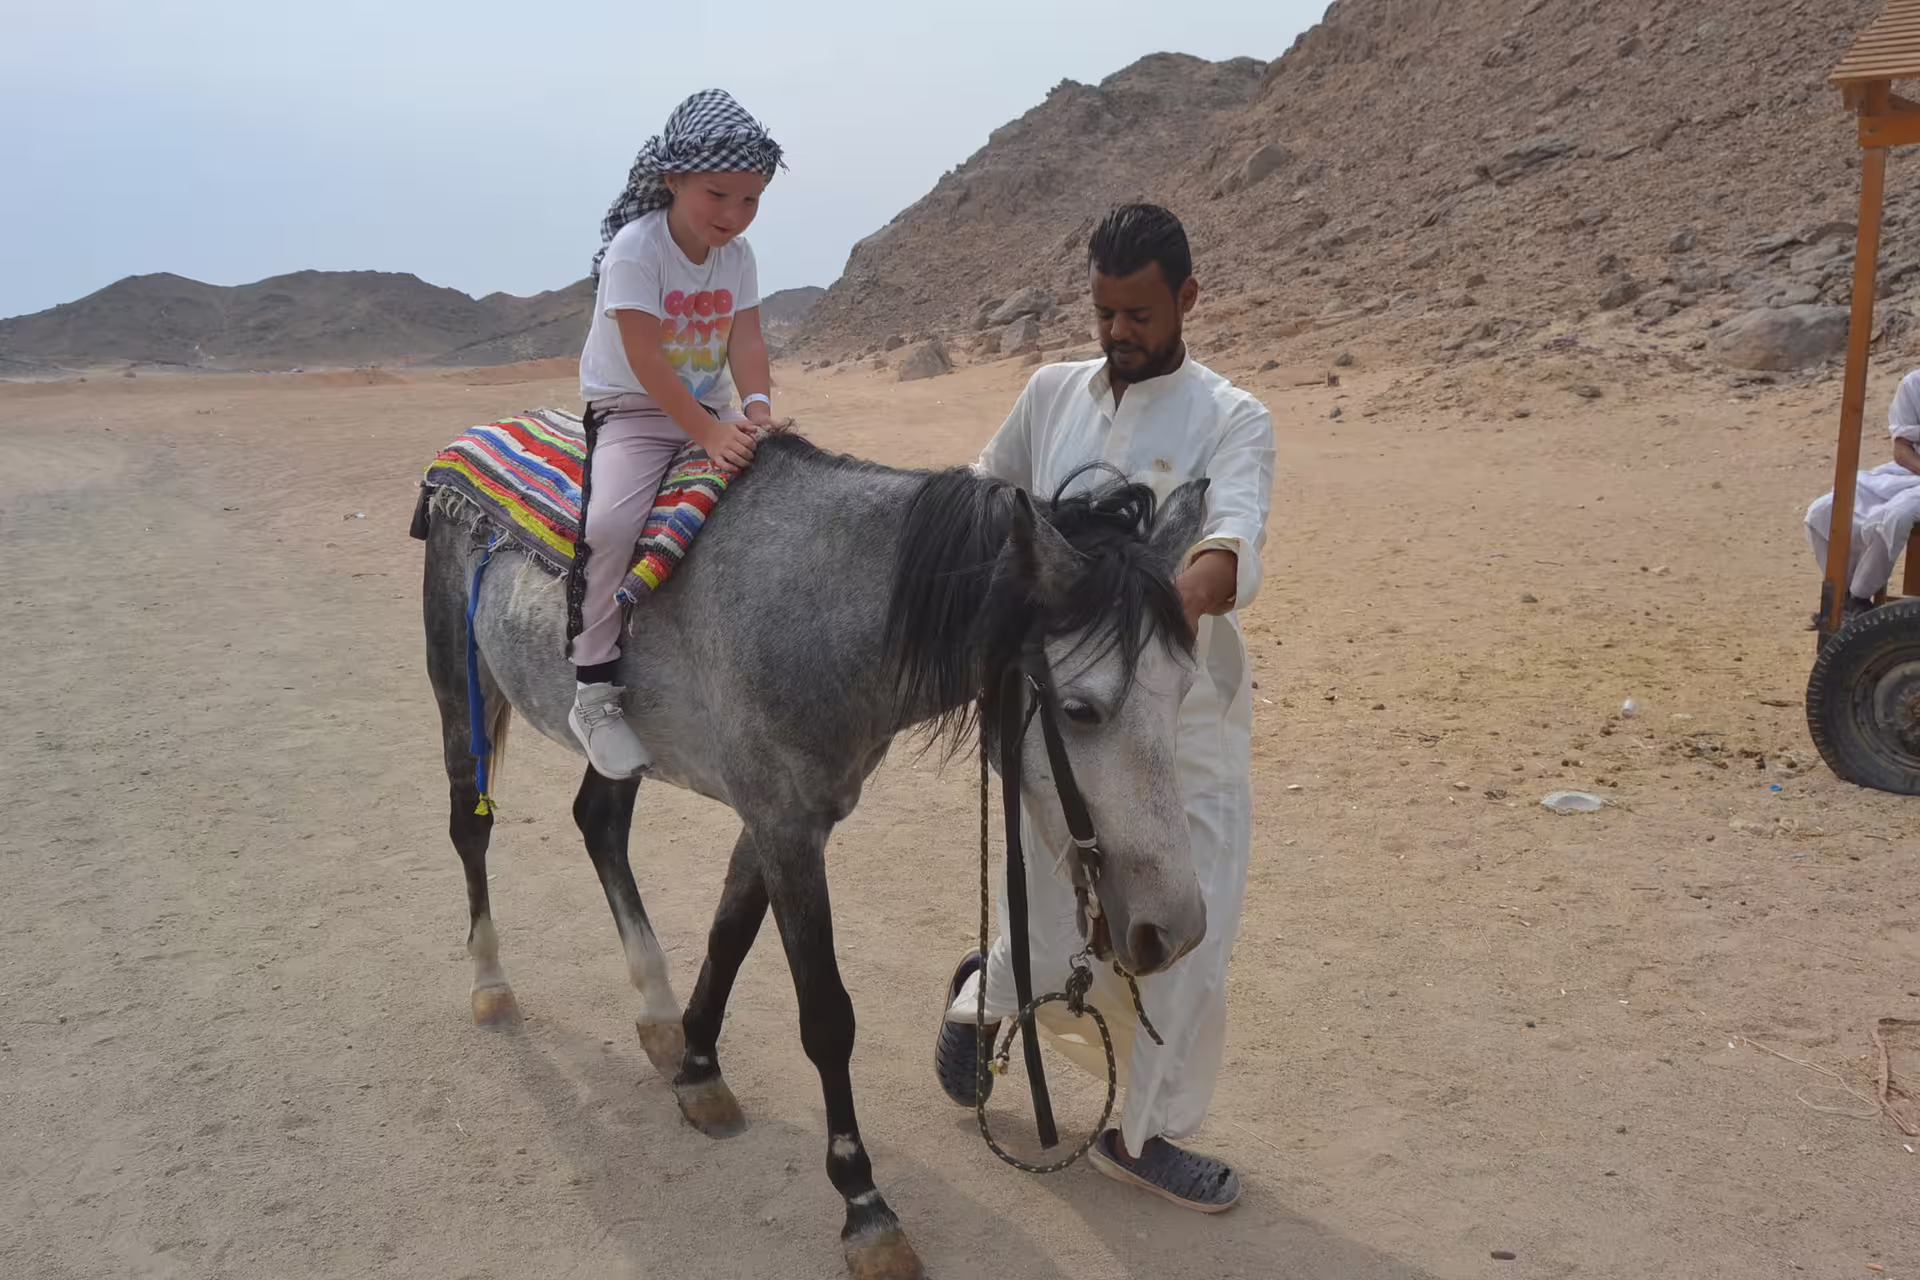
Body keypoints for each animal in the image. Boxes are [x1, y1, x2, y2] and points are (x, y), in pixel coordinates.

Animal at [417, 429, 1210, 1280]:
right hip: (456, 681)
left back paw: (656, 1013)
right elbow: (827, 1016)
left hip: (617, 748)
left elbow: (729, 935)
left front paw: (697, 1070)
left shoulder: (786, 818)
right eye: (1080, 709)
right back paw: (491, 983)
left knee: (598, 824)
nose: (1175, 929)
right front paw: (865, 1208)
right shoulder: (785, 825)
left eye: (1184, 689)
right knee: (470, 825)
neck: (825, 612)